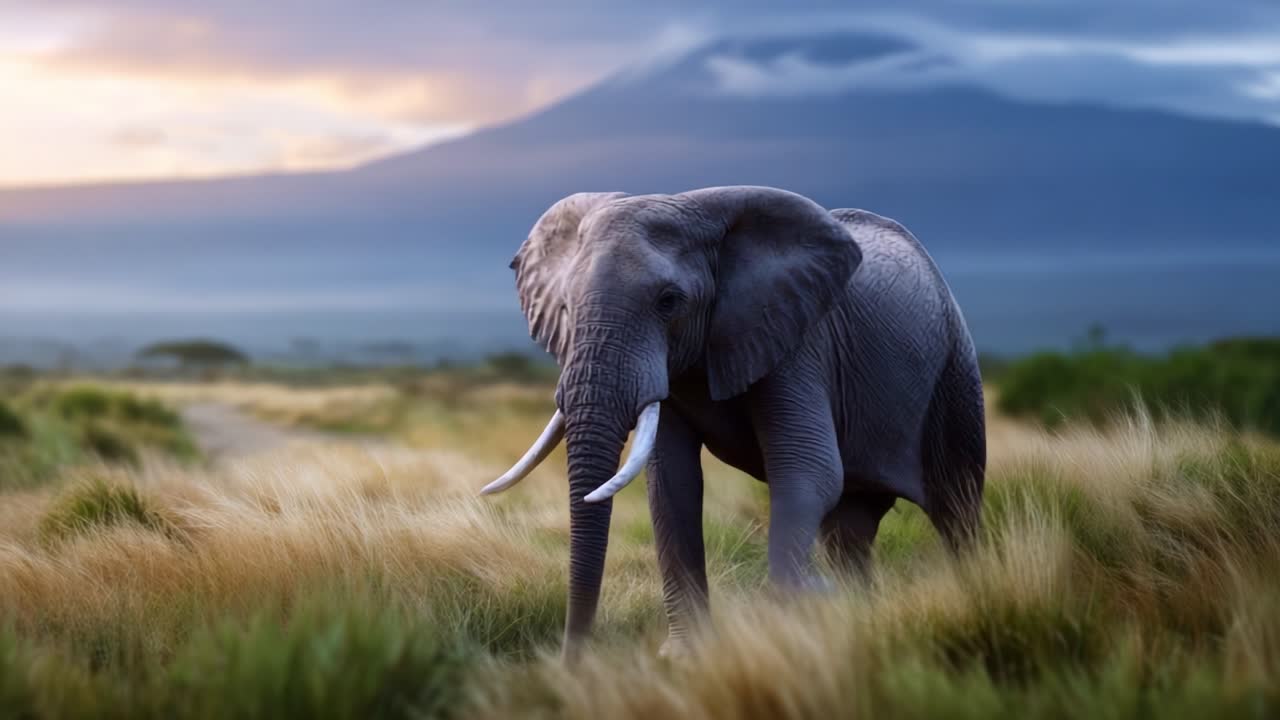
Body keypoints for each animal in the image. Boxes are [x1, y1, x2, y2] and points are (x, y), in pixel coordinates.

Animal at [481, 185, 985, 659]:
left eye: (668, 302)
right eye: (566, 307)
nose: (572, 662)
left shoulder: (799, 338)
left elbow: (810, 469)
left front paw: (804, 615)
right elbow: (672, 484)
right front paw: (685, 657)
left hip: (954, 370)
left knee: (956, 508)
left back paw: (968, 594)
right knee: (850, 530)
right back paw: (861, 613)